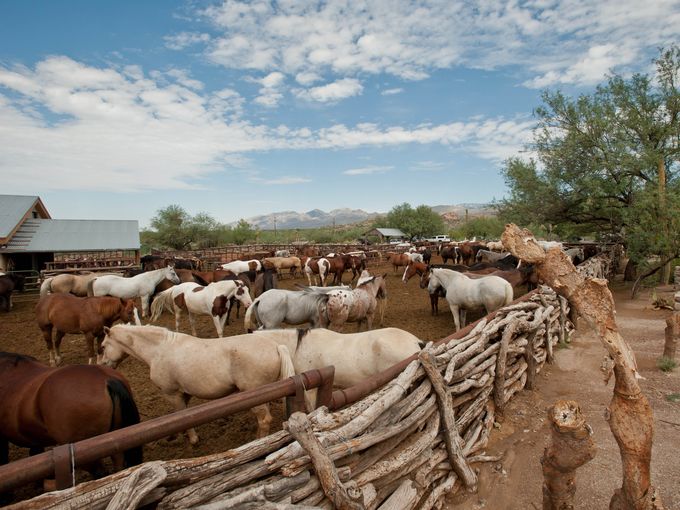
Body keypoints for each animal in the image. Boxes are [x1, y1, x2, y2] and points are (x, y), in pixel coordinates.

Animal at [99, 326, 296, 442]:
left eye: (102, 346)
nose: (103, 365)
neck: (159, 349)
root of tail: (276, 346)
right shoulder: (184, 394)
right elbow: (184, 415)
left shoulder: (172, 394)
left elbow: (181, 415)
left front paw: (193, 440)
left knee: (264, 420)